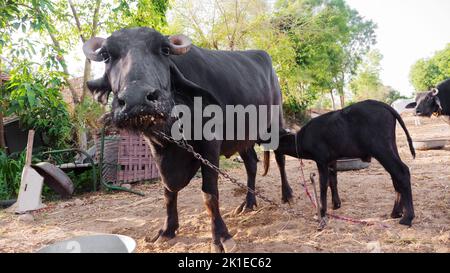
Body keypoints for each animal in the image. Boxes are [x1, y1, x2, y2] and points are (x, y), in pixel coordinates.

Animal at [81, 27, 294, 251]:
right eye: (106, 56)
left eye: (165, 50)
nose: (136, 99)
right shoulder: (158, 152)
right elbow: (168, 193)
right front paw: (167, 230)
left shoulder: (210, 147)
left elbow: (209, 194)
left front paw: (221, 237)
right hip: (244, 137)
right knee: (251, 164)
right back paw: (249, 203)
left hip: (276, 123)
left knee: (280, 157)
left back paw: (287, 195)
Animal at [264, 100, 414, 225]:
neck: (300, 139)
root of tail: (383, 105)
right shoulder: (332, 161)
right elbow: (333, 181)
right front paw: (336, 204)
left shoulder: (321, 161)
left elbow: (323, 185)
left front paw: (322, 212)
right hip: (391, 147)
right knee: (396, 177)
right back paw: (396, 212)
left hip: (381, 149)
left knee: (401, 172)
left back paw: (407, 217)